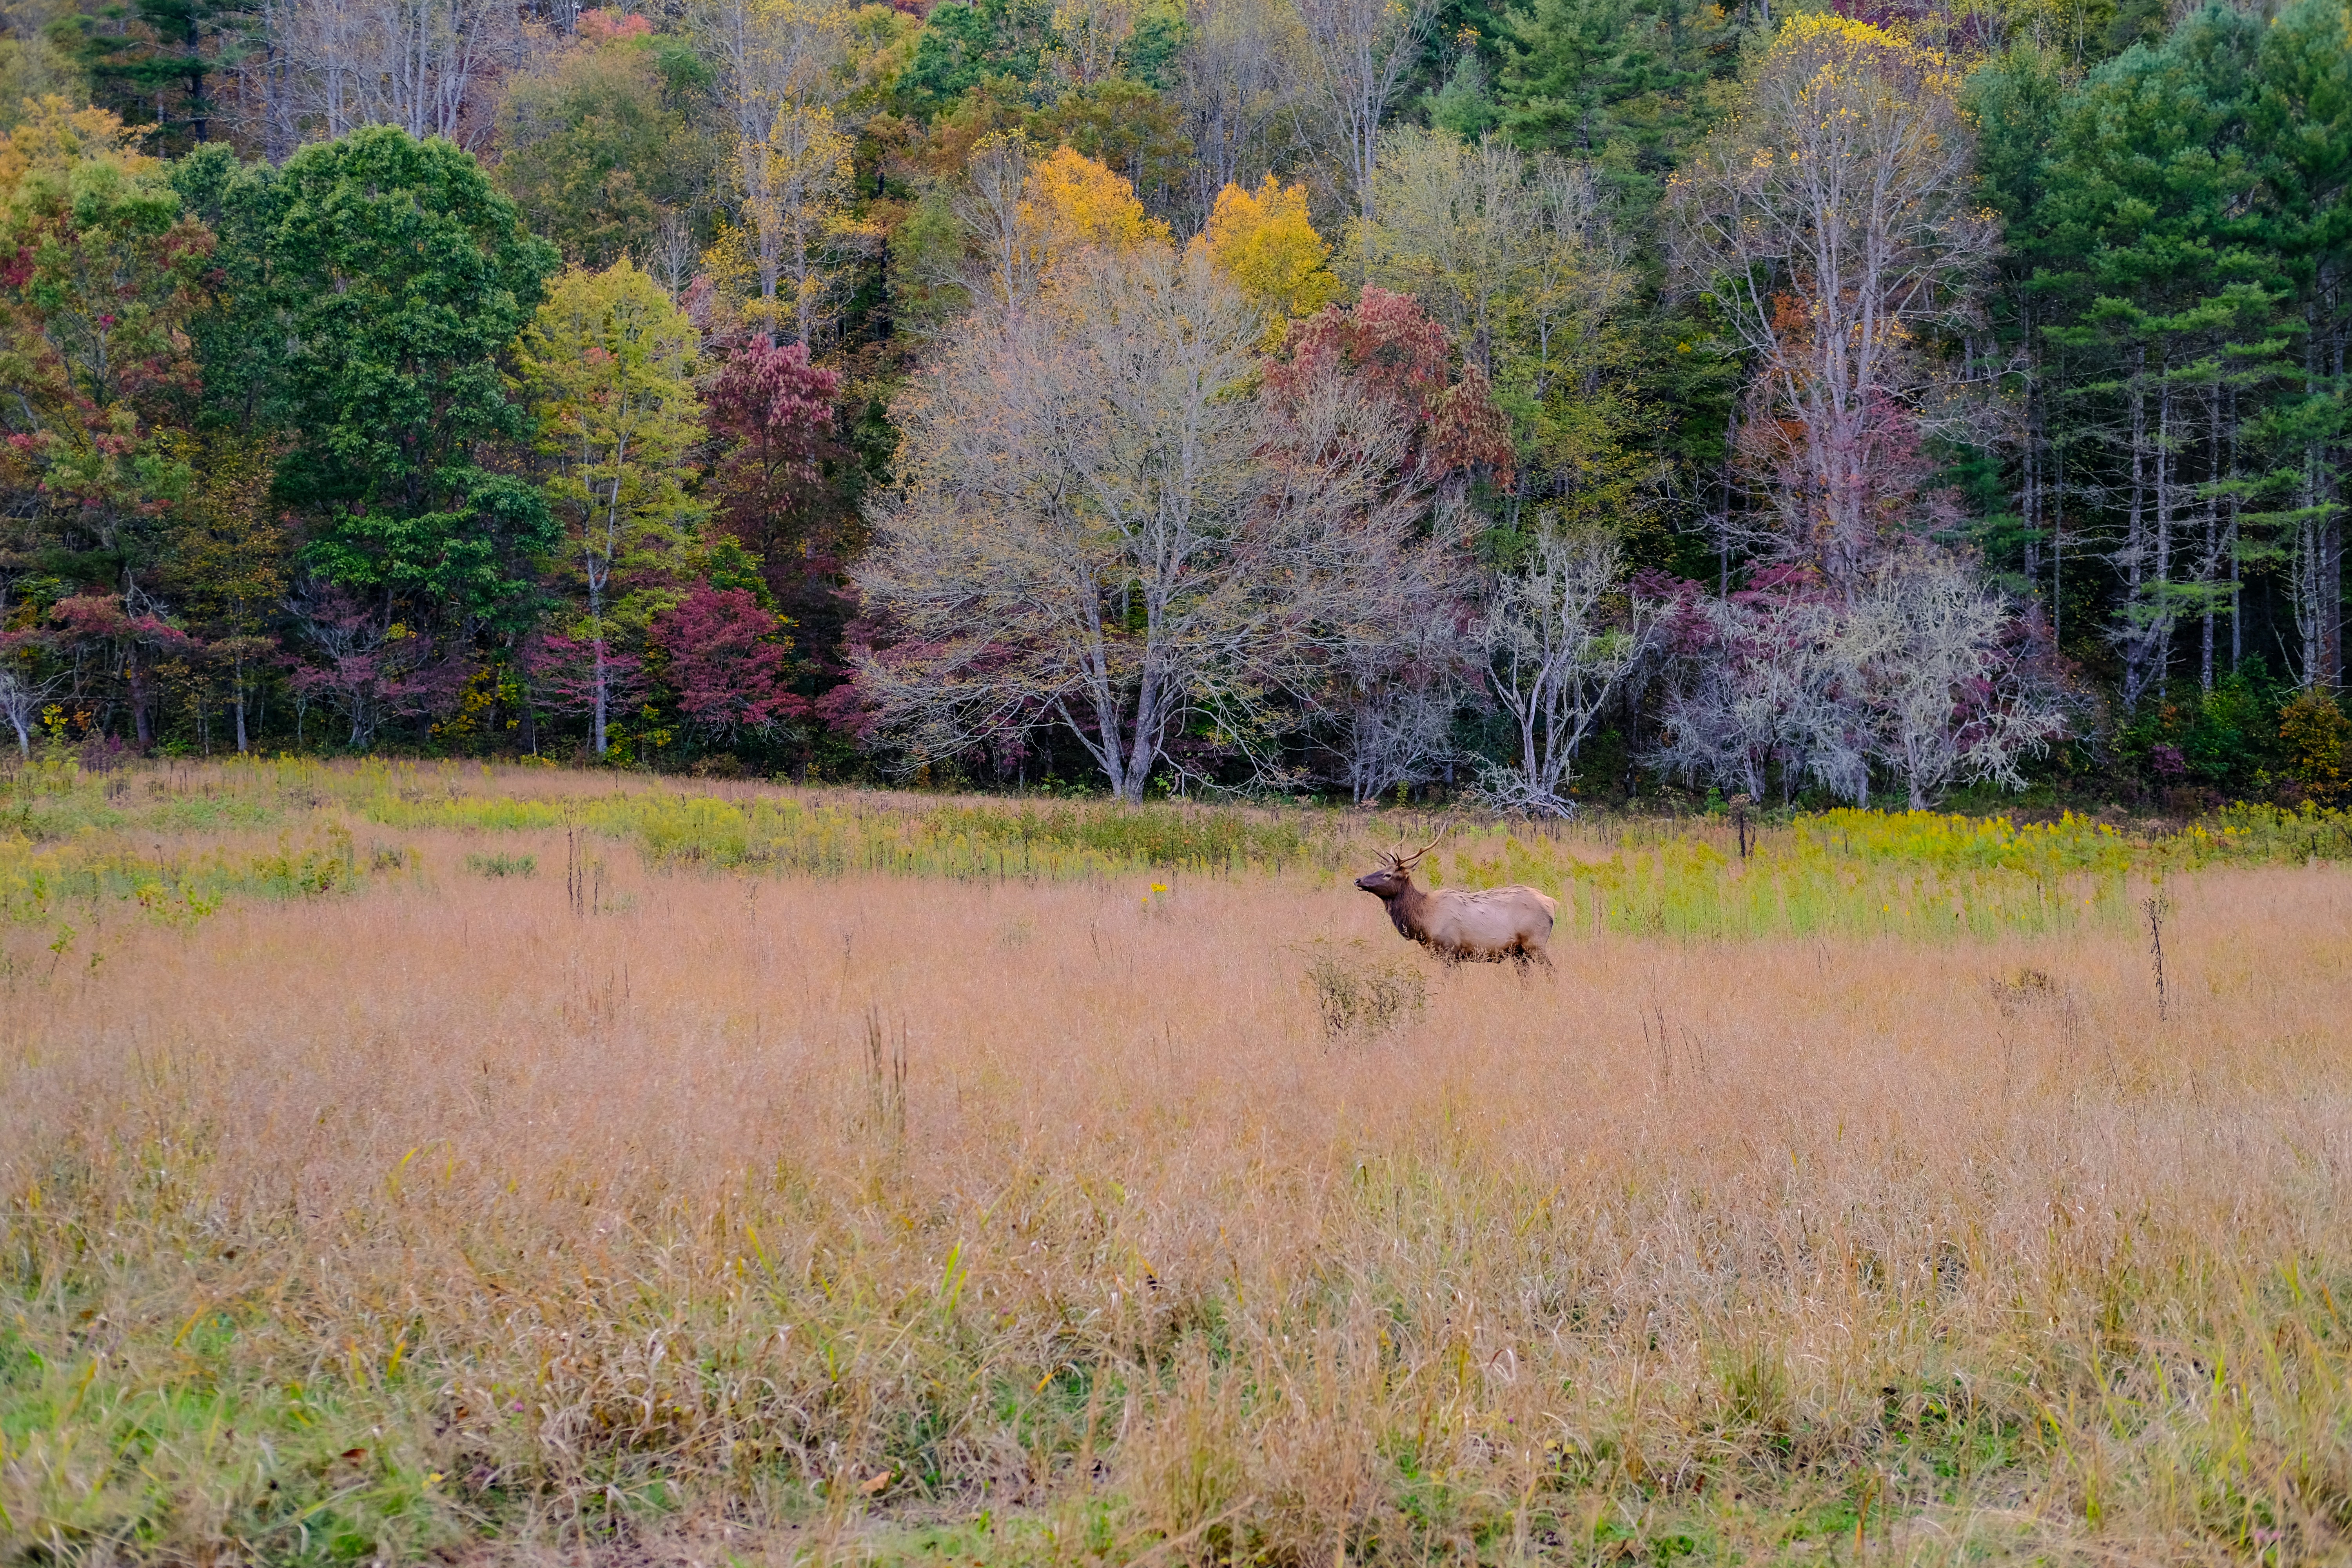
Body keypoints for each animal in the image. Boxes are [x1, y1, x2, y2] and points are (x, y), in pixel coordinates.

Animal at [1353, 830, 1558, 967]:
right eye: (1381, 869)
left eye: (1388, 875)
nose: (1358, 880)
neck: (1424, 922)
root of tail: (1552, 903)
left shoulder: (1449, 950)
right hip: (1518, 952)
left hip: (1535, 943)